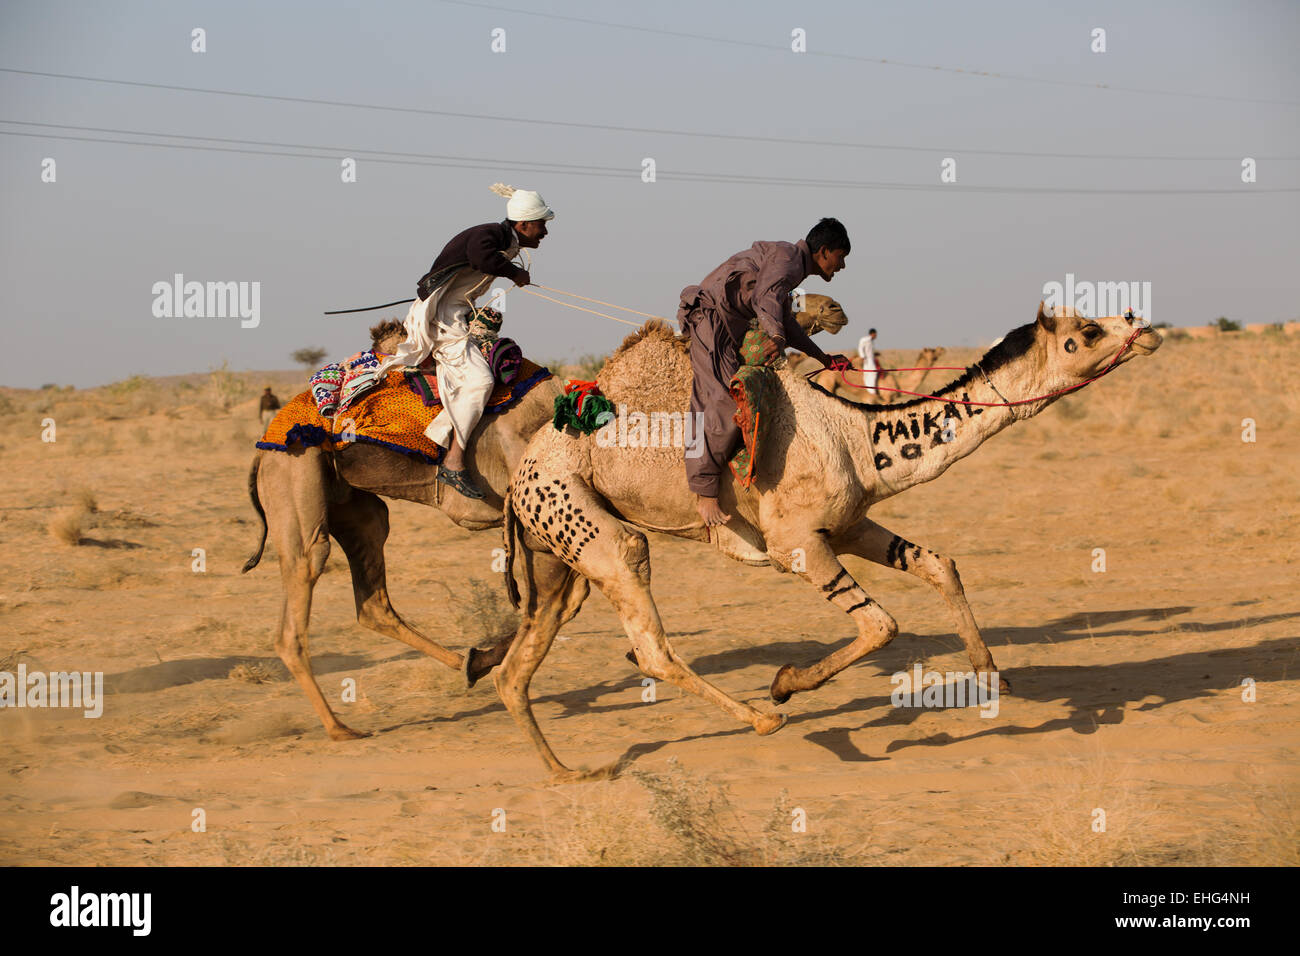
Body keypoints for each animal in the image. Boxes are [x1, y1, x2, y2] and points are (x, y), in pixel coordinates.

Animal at [241, 300, 845, 740]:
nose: (834, 309)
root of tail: (265, 440)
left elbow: (564, 600)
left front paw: (490, 659)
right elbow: (570, 597)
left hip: (358, 505)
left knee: (372, 597)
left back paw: (466, 662)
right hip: (294, 476)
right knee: (300, 595)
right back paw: (340, 727)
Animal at [495, 303, 1162, 779]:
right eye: (1087, 330)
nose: (1146, 327)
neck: (855, 437)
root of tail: (520, 474)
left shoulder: (850, 526)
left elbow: (940, 566)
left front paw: (992, 675)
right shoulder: (796, 545)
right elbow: (881, 626)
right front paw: (785, 682)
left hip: (557, 556)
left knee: (516, 666)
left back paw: (568, 772)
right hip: (585, 519)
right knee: (649, 639)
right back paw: (764, 720)